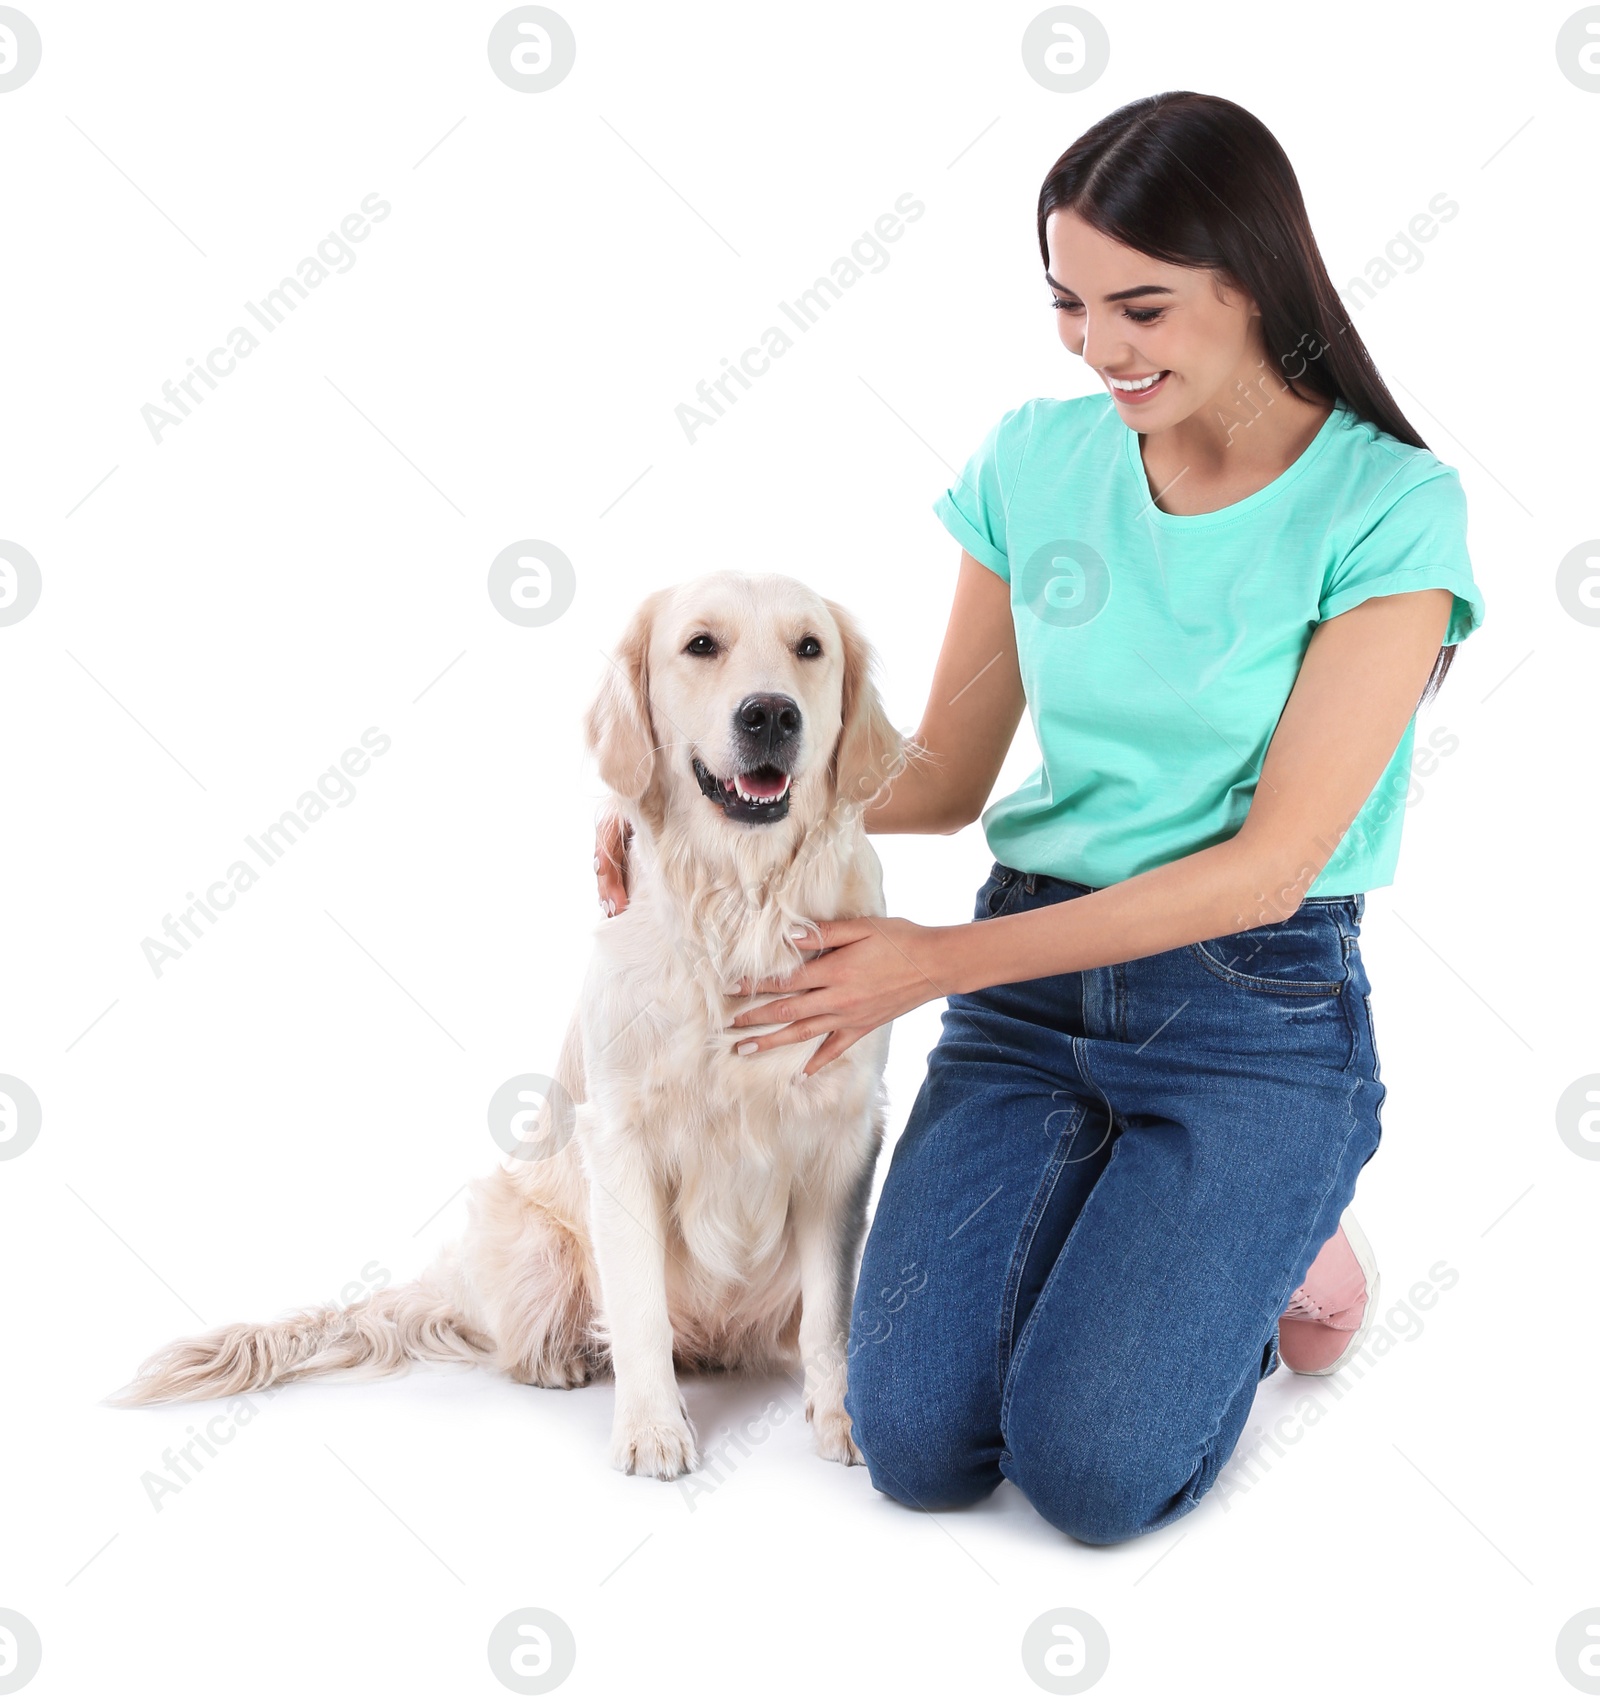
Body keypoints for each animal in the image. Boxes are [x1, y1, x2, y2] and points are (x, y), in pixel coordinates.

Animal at [110, 571, 905, 1477]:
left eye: (810, 648)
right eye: (701, 645)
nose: (770, 713)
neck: (742, 904)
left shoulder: (843, 1131)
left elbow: (831, 1312)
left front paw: (841, 1415)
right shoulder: (620, 1134)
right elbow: (638, 1307)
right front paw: (652, 1430)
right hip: (521, 1228)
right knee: (534, 1338)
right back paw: (562, 1360)